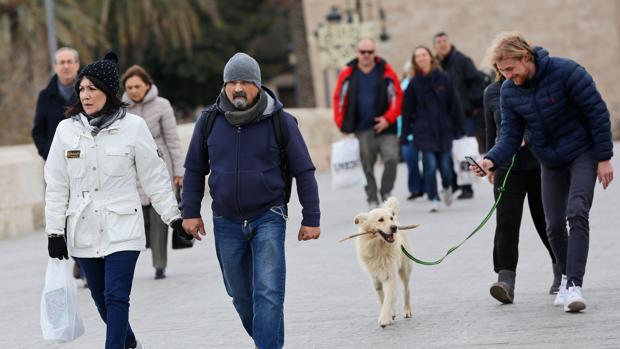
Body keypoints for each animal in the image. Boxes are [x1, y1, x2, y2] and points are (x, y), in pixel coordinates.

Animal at [354, 197, 412, 328]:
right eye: (380, 220)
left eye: (390, 218)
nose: (394, 227)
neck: (379, 247)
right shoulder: (375, 279)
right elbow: (383, 298)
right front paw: (390, 314)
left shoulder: (390, 276)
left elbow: (388, 299)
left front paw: (384, 318)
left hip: (404, 270)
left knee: (406, 290)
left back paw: (407, 310)